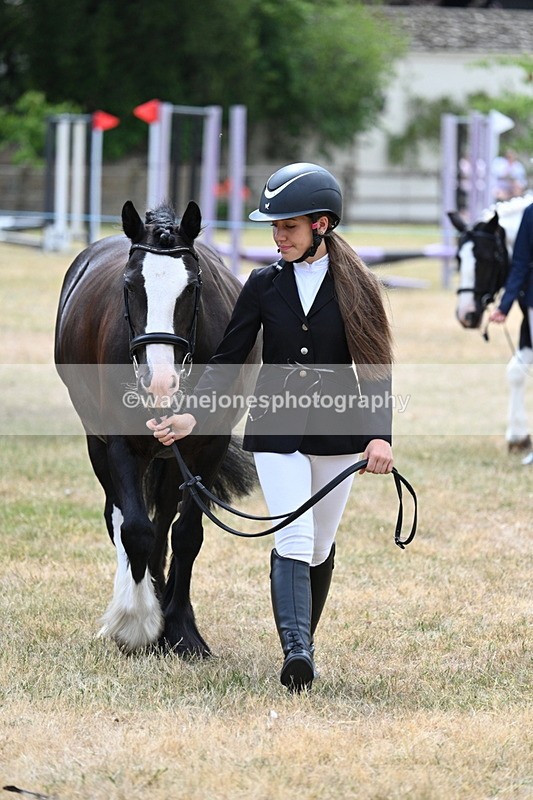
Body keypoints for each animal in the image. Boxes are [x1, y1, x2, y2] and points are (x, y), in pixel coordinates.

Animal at [54, 199, 261, 655]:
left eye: (193, 287)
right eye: (131, 285)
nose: (160, 382)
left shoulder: (208, 444)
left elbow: (186, 535)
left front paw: (181, 630)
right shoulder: (121, 444)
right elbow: (133, 530)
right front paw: (136, 625)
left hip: (170, 458)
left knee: (164, 519)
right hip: (98, 443)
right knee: (119, 517)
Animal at [448, 193, 533, 452]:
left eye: (485, 260)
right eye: (458, 258)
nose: (465, 314)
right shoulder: (528, 323)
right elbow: (516, 371)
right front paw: (519, 437)